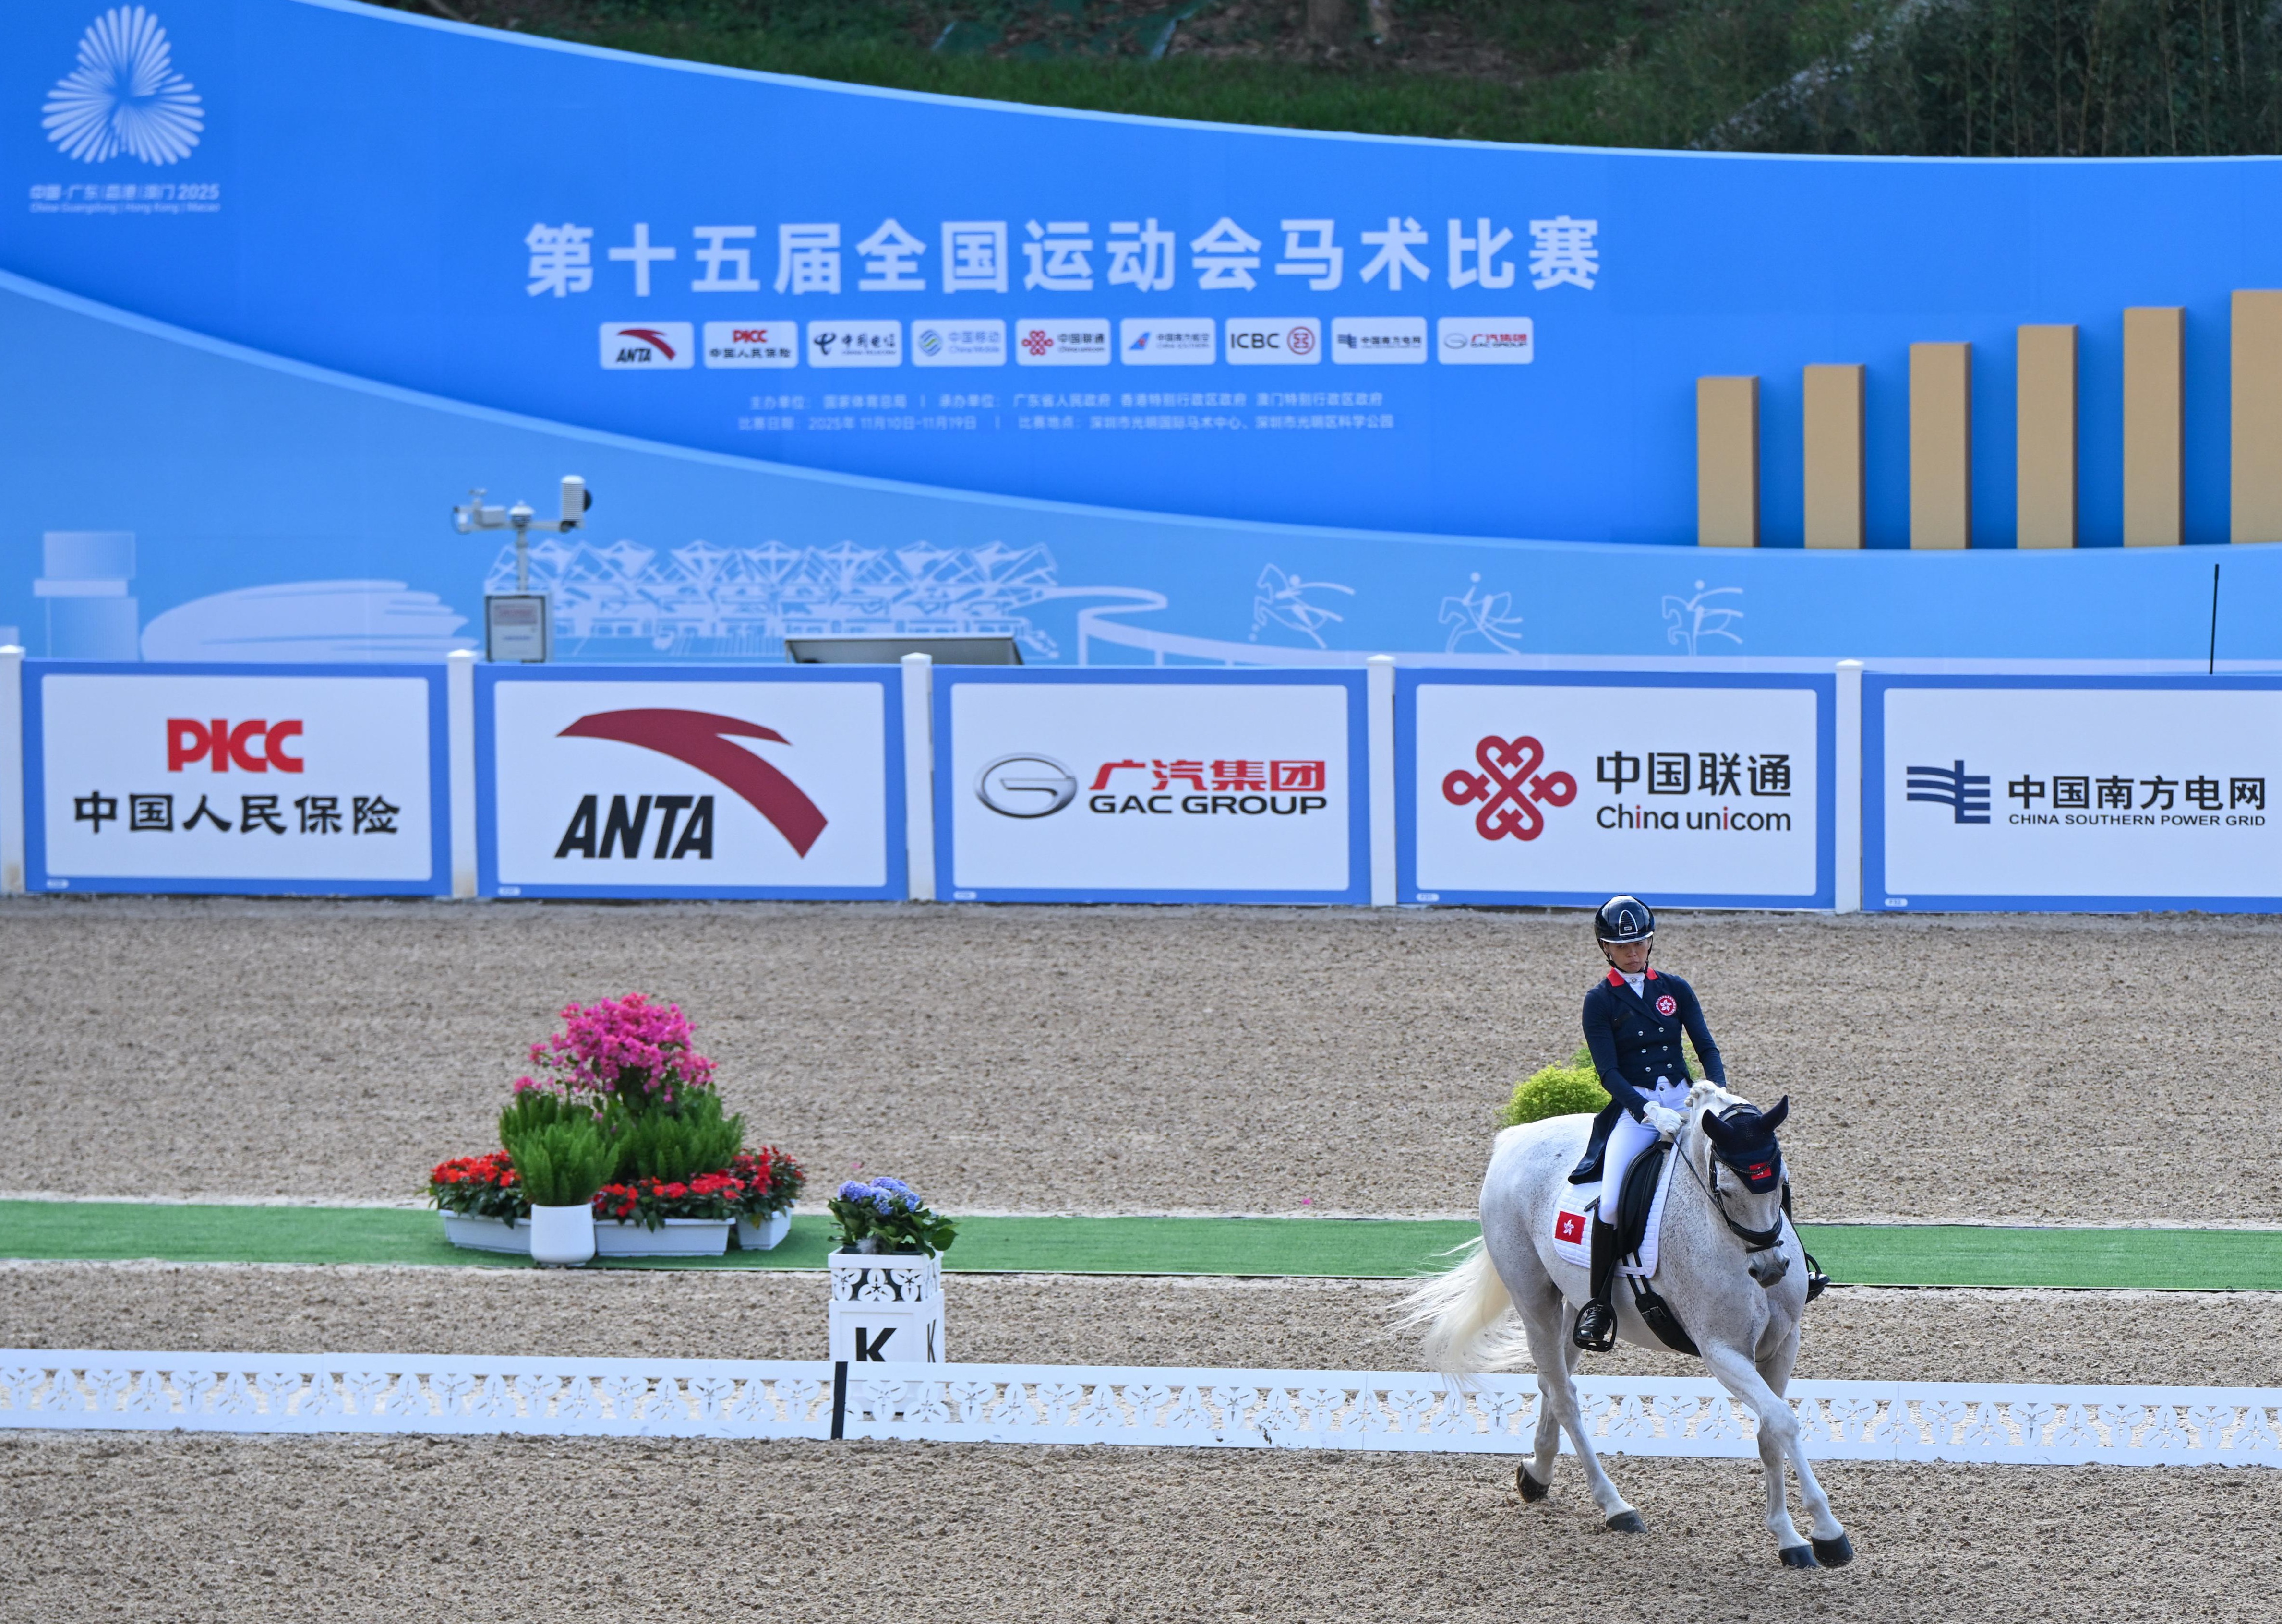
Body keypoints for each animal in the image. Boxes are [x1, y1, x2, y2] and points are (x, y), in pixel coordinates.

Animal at [1399, 1080, 1852, 1569]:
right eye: (1726, 1189)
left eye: (1781, 1182)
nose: (1770, 1270)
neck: (1722, 1233)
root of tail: (1516, 1137)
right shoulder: (1722, 1352)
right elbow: (1783, 1423)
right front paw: (1828, 1533)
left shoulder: (1783, 1343)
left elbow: (1770, 1431)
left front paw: (1790, 1538)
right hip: (1533, 1299)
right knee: (1565, 1396)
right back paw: (1615, 1506)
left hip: (1572, 1304)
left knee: (1551, 1380)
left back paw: (1537, 1475)